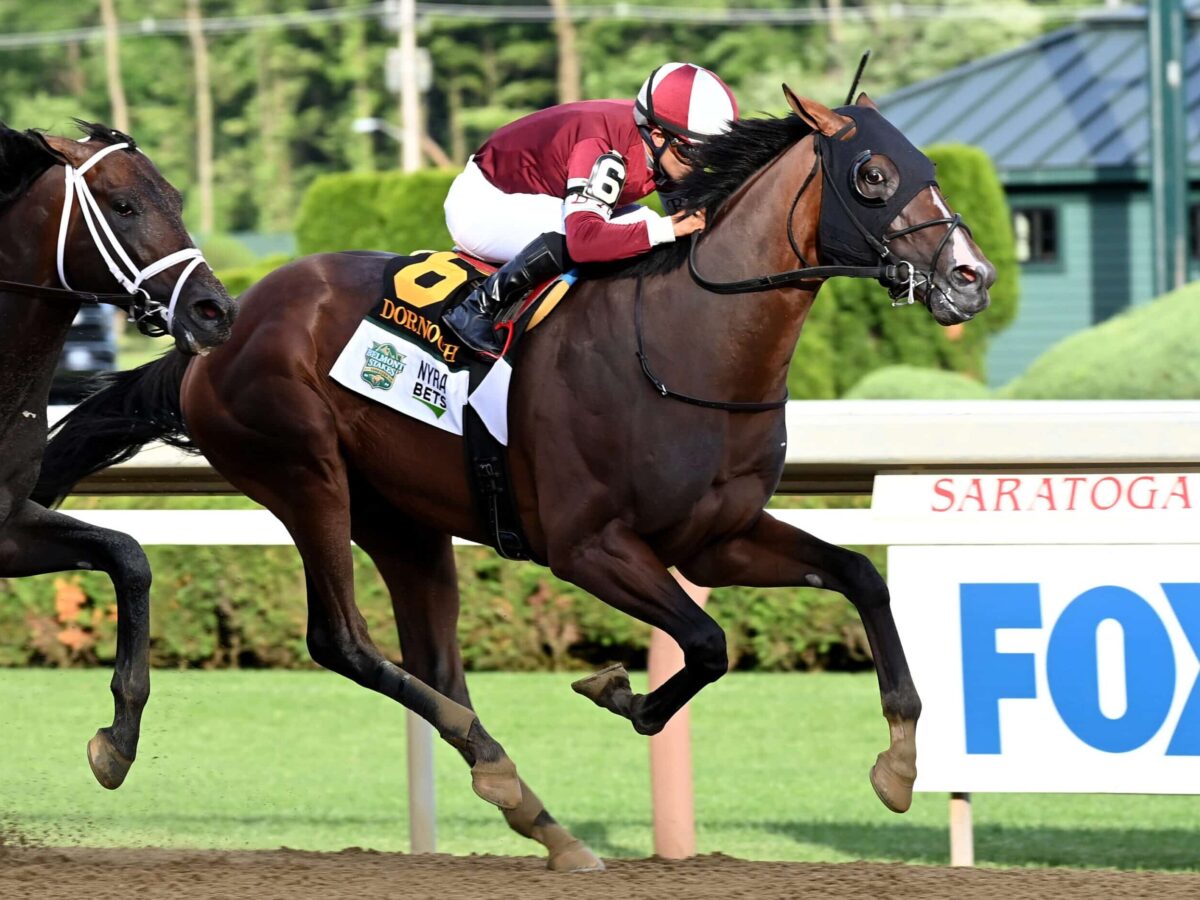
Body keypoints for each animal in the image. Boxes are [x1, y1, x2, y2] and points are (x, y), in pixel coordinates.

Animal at [0, 121, 236, 787]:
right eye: (124, 205)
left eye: (177, 199)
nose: (215, 310)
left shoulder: (8, 526)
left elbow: (129, 557)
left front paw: (117, 741)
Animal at [37, 93, 993, 873]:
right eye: (873, 176)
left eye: (928, 169)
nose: (972, 277)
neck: (686, 339)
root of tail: (217, 330)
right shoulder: (588, 546)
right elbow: (708, 642)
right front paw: (622, 693)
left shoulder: (715, 539)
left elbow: (858, 576)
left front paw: (899, 764)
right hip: (305, 476)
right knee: (342, 641)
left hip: (403, 523)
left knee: (434, 664)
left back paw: (534, 812)